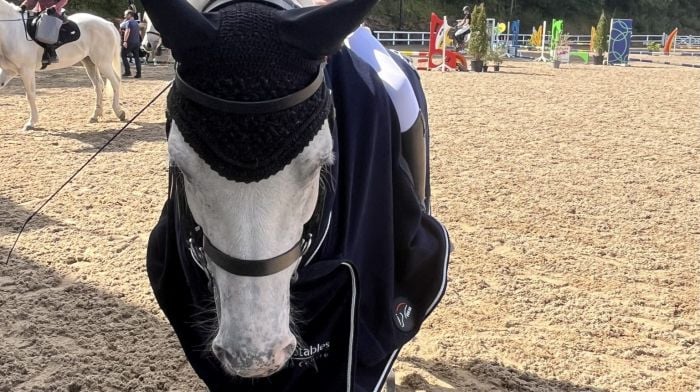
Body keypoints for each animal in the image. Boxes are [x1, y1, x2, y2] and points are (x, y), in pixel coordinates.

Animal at [0, 0, 123, 132]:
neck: (12, 30)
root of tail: (107, 24)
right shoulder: (9, 71)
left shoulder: (26, 70)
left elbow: (30, 95)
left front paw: (31, 122)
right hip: (89, 62)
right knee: (98, 85)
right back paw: (95, 115)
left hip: (103, 63)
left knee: (115, 82)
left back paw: (119, 112)